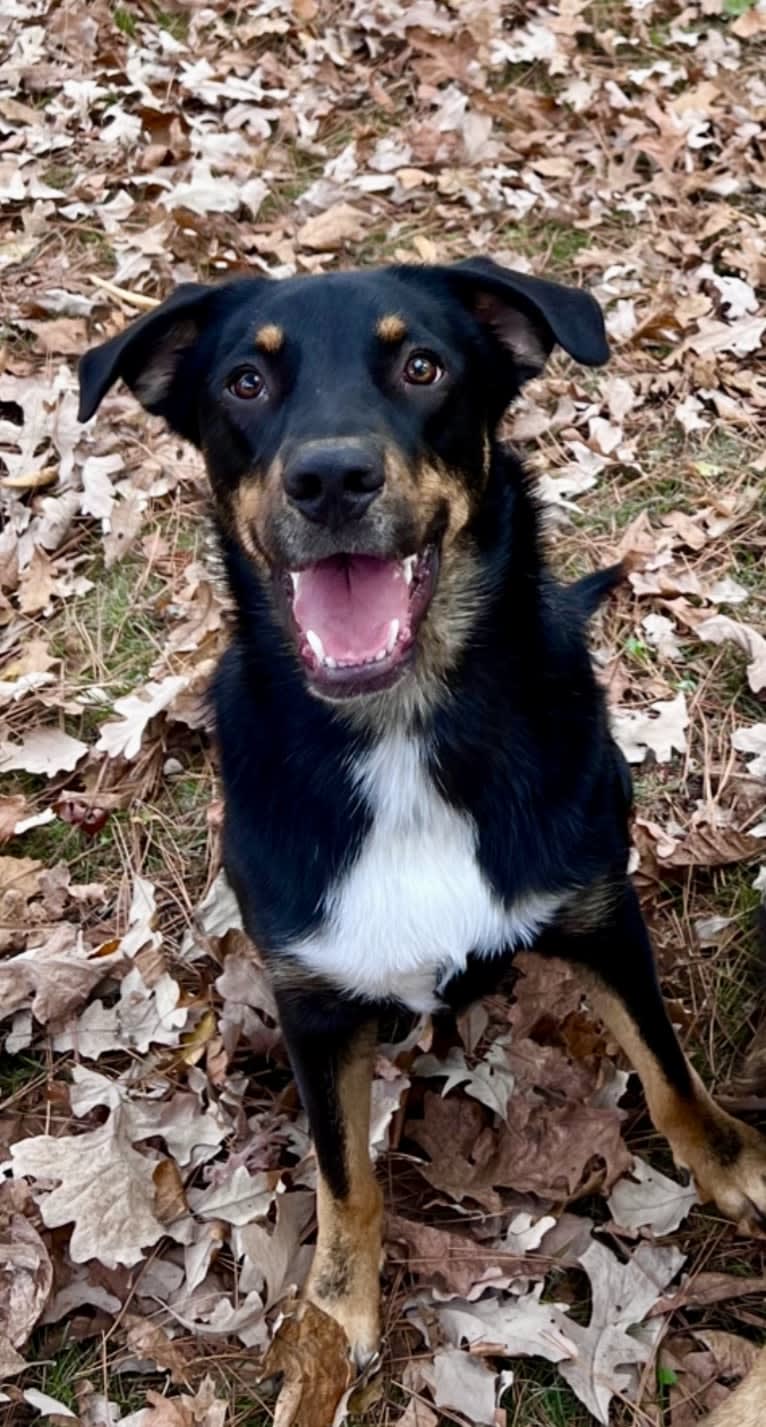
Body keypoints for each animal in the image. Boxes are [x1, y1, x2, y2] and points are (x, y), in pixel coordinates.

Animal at [76, 256, 764, 1369]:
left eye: (422, 365)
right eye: (244, 383)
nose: (330, 479)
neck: (399, 733)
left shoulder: (600, 910)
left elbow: (666, 1069)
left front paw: (732, 1161)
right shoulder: (311, 1001)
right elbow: (342, 1175)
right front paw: (334, 1310)